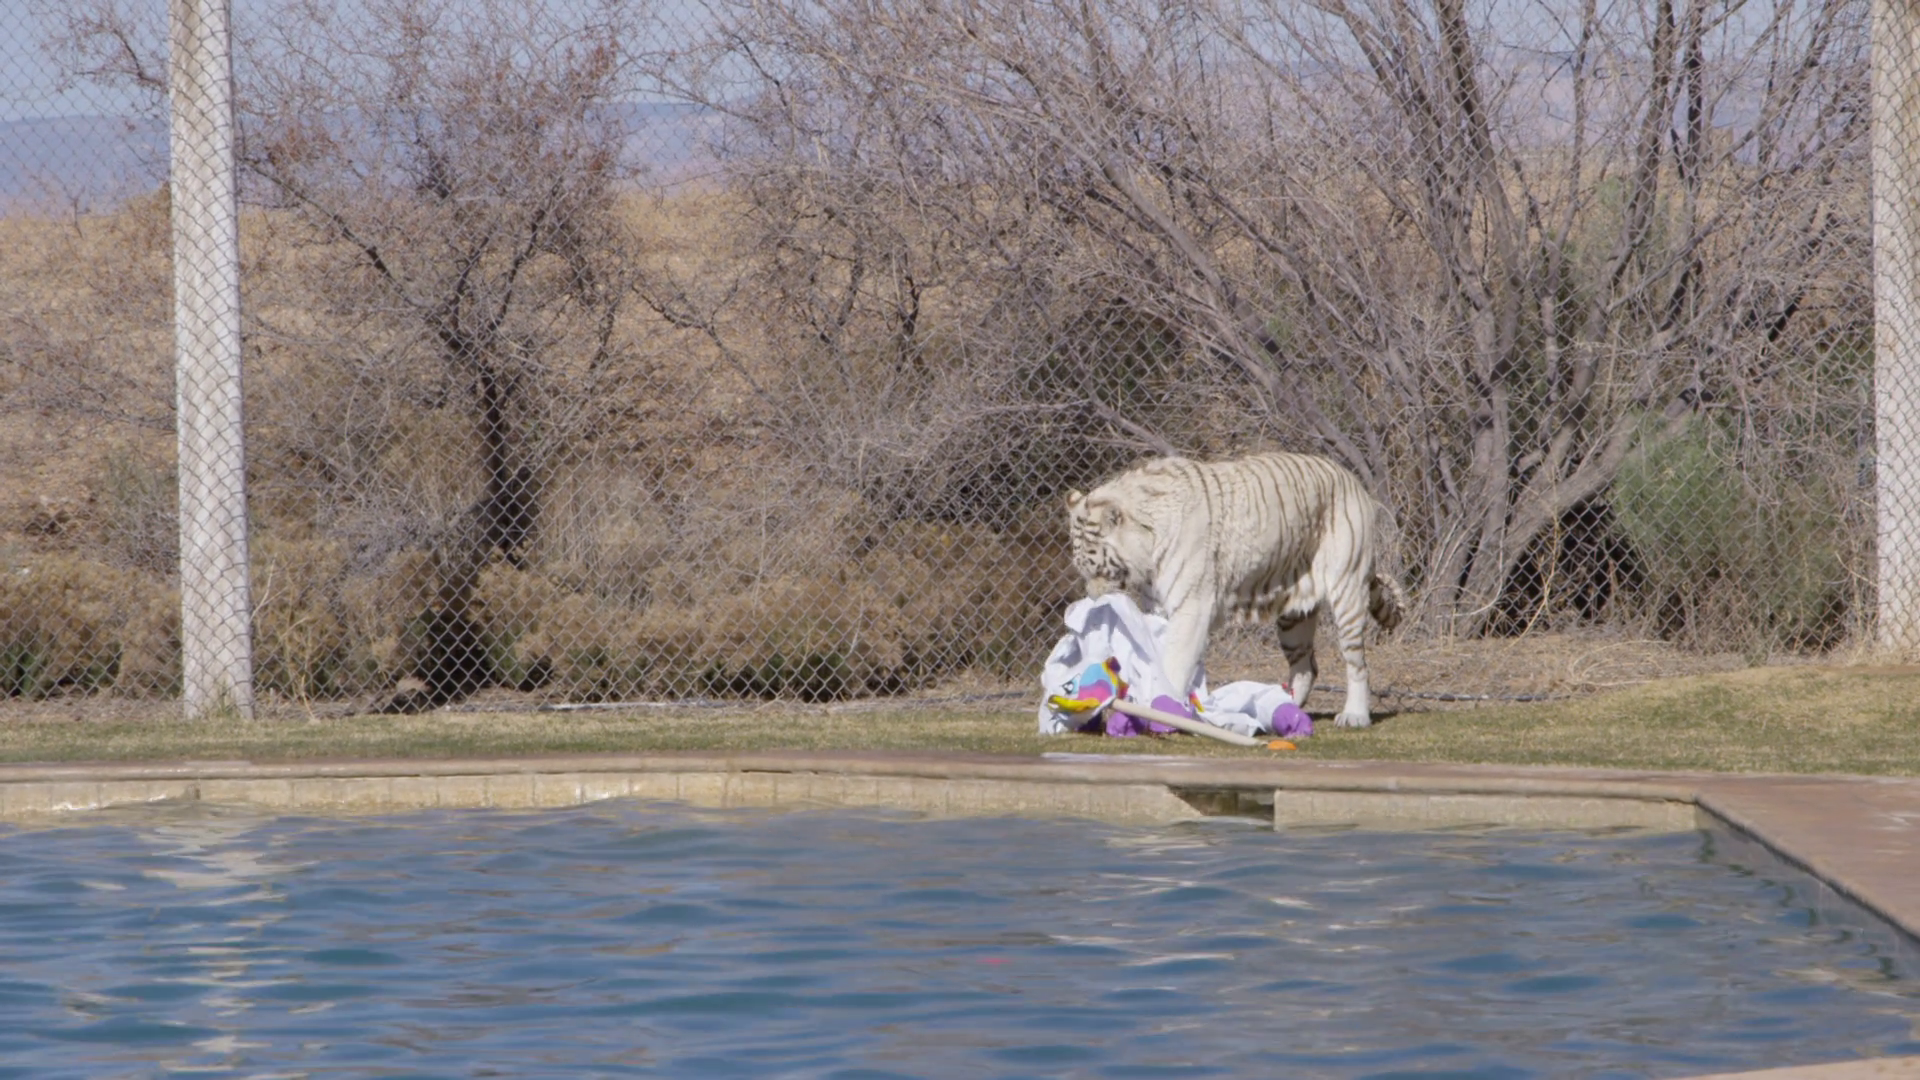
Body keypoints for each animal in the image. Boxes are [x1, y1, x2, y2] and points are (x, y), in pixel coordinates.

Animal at [1066, 452, 1406, 728]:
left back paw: (1355, 716)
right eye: (1082, 571)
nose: (1093, 598)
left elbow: (1175, 662)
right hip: (1293, 616)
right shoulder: (1158, 606)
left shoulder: (1192, 607)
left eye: (1097, 570)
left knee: (1357, 664)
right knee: (1306, 666)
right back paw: (1282, 710)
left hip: (1347, 589)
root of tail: (1353, 480)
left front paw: (1161, 709)